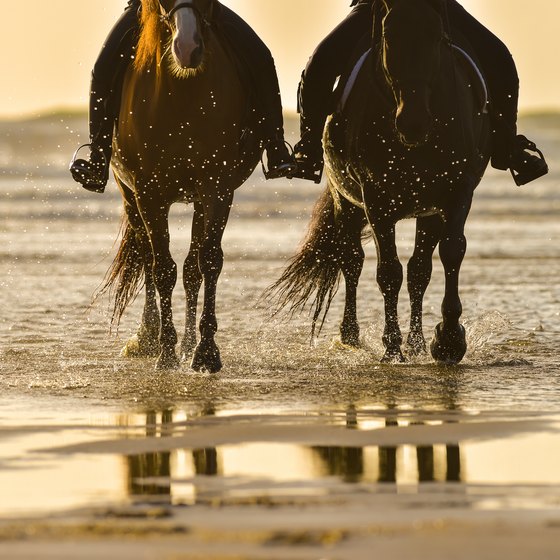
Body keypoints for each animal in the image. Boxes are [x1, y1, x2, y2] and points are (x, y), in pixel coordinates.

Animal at [99, 2, 260, 374]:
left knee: (191, 268)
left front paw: (206, 352)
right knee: (147, 257)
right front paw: (165, 351)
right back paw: (147, 336)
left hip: (198, 201)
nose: (187, 48)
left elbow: (208, 262)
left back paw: (188, 344)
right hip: (130, 197)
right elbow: (161, 268)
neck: (182, 97)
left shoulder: (216, 189)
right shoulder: (149, 193)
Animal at [266, 0, 490, 366]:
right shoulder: (376, 199)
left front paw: (448, 340)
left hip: (427, 212)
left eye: (437, 36)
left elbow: (451, 252)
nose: (413, 122)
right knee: (352, 261)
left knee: (419, 270)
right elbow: (388, 271)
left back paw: (417, 343)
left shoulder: (457, 192)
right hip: (347, 204)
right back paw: (351, 335)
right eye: (388, 36)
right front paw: (391, 347)